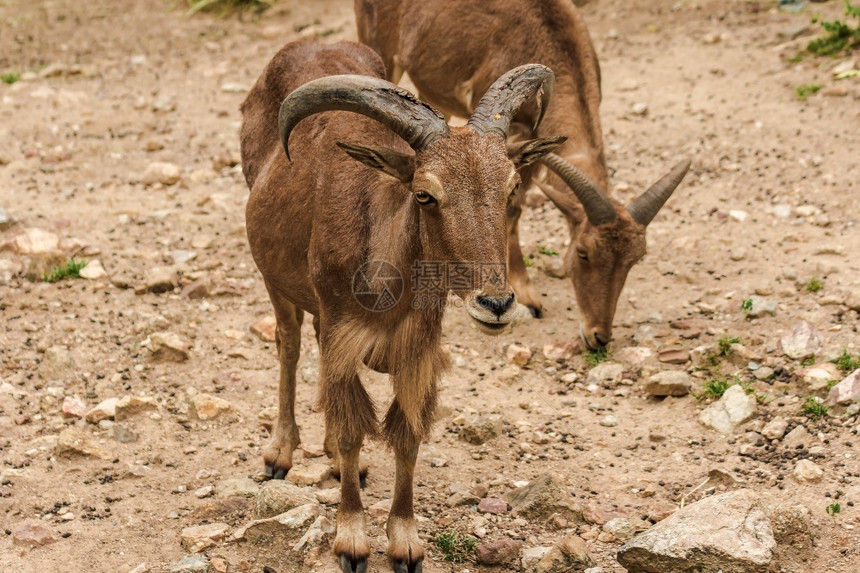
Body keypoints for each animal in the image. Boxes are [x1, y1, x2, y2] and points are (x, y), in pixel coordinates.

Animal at [242, 40, 564, 572]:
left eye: (511, 188)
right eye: (425, 194)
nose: (496, 303)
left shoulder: (417, 350)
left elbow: (407, 433)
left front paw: (405, 542)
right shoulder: (343, 333)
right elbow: (353, 431)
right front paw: (351, 540)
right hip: (276, 280)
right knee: (289, 346)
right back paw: (280, 452)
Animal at [356, 0, 692, 348]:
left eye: (636, 258)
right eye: (585, 253)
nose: (598, 336)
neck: (549, 39)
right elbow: (514, 210)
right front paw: (528, 297)